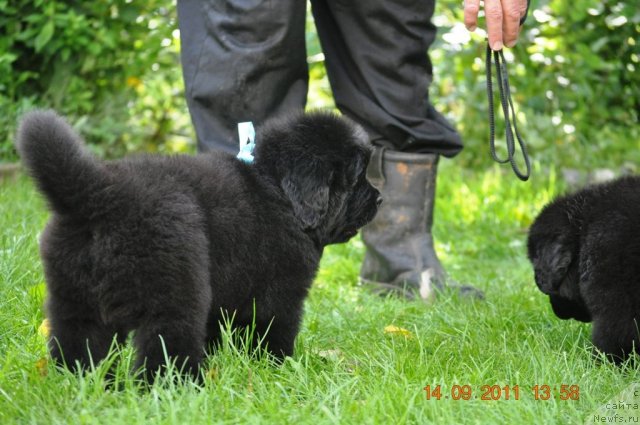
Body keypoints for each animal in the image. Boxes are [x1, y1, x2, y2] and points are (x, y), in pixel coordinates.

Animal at [17, 108, 380, 378]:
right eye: (357, 177)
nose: (379, 198)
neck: (276, 189)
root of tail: (96, 196)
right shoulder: (280, 293)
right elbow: (274, 329)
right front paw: (279, 367)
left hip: (72, 296)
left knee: (77, 340)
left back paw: (83, 382)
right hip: (174, 290)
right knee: (165, 346)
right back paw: (179, 386)